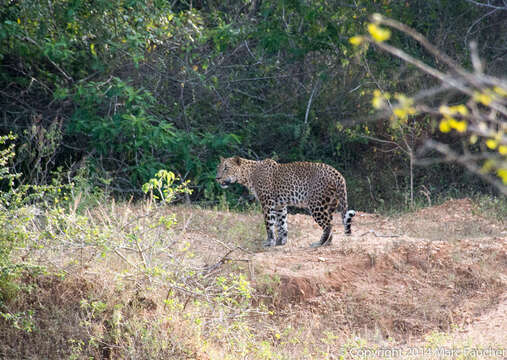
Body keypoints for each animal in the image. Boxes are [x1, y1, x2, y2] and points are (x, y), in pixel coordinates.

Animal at [216, 156, 356, 249]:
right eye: (219, 168)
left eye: (226, 168)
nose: (217, 178)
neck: (249, 175)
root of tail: (337, 173)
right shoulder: (279, 205)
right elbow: (282, 224)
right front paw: (281, 241)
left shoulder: (267, 203)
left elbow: (269, 224)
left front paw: (269, 242)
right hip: (330, 203)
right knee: (331, 222)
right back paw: (328, 243)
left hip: (316, 205)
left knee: (328, 225)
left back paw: (320, 243)